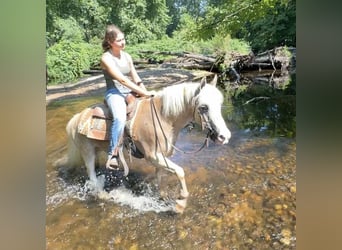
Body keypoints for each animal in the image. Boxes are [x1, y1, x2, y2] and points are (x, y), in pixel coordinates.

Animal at [65, 74, 230, 213]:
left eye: (220, 104)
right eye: (203, 107)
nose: (224, 136)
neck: (163, 118)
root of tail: (77, 118)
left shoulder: (161, 157)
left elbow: (160, 176)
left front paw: (163, 196)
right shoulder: (153, 156)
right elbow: (180, 171)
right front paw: (181, 203)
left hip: (97, 150)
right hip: (87, 152)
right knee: (92, 176)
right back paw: (103, 195)